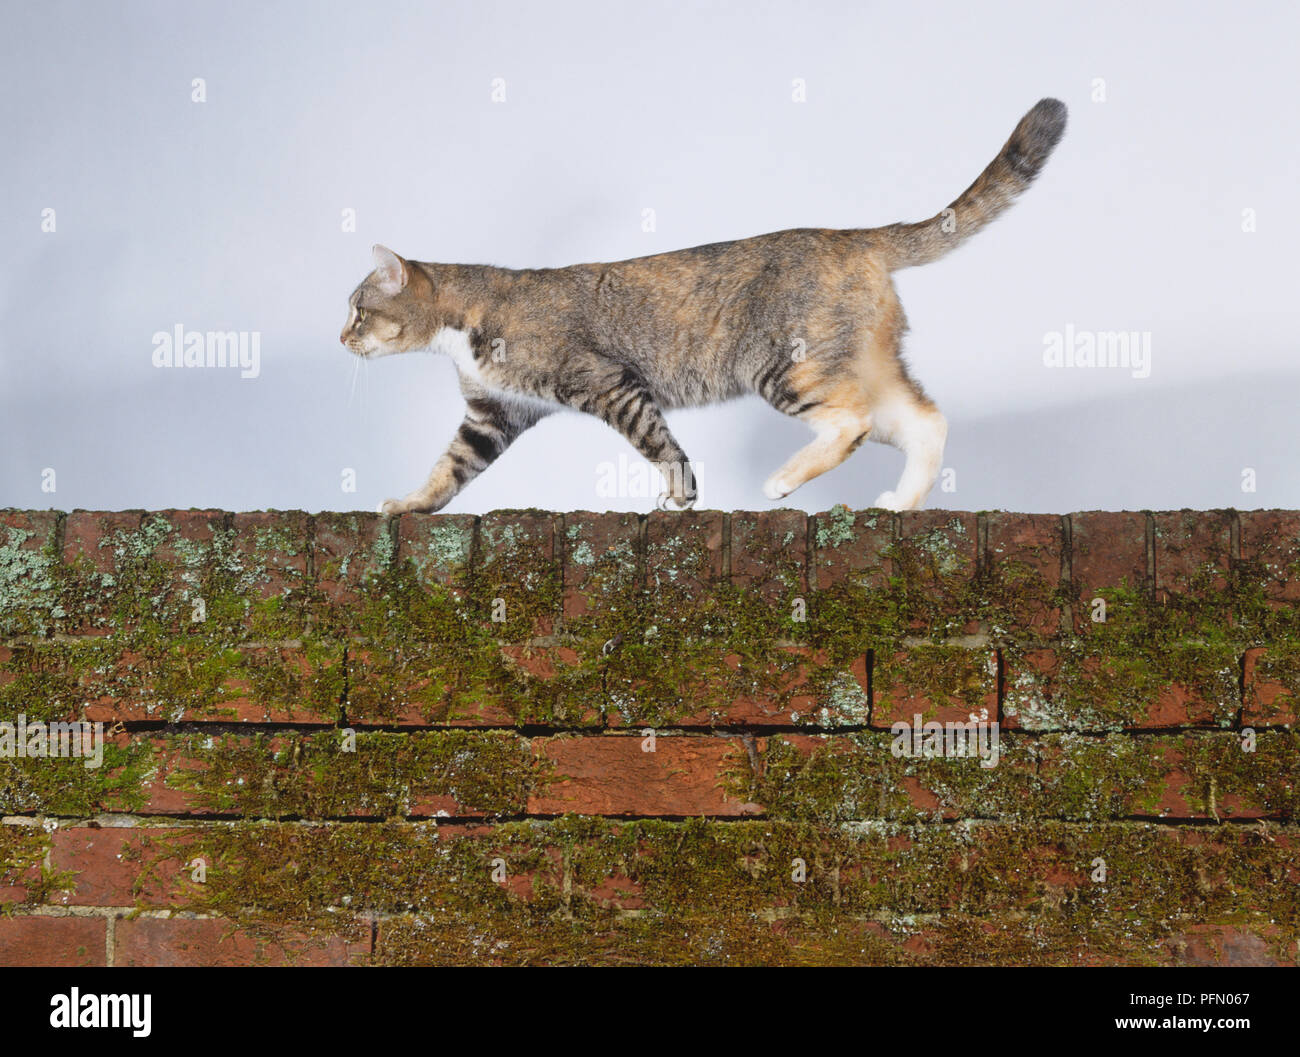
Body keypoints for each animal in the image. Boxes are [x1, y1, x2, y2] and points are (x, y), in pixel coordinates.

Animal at [343, 96, 1066, 512]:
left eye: (356, 309)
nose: (341, 339)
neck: (463, 325)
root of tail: (851, 235)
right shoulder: (492, 415)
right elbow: (448, 469)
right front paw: (409, 505)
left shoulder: (610, 383)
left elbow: (661, 445)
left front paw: (680, 497)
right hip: (865, 360)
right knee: (925, 421)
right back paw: (898, 505)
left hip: (785, 367)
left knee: (852, 421)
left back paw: (782, 482)